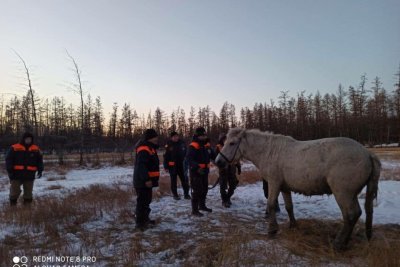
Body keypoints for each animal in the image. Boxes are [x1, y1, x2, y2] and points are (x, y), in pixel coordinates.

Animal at [216, 129, 382, 250]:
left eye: (232, 143)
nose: (218, 162)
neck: (269, 151)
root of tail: (367, 153)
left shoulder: (274, 183)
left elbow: (271, 205)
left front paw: (272, 229)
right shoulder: (284, 187)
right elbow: (289, 207)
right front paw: (293, 225)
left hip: (343, 193)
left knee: (351, 215)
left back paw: (338, 243)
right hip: (351, 194)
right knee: (357, 213)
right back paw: (345, 241)